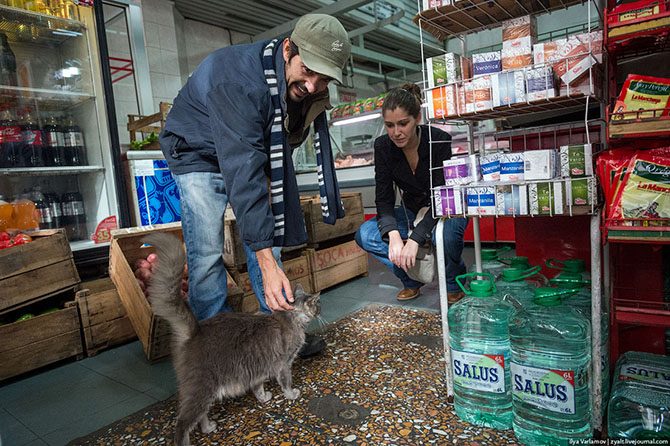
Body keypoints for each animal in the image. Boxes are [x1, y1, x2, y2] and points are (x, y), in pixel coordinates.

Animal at [146, 233, 324, 446]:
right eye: (317, 305)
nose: (321, 310)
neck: (291, 317)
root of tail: (196, 330)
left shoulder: (257, 367)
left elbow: (257, 386)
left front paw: (263, 398)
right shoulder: (283, 364)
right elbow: (286, 382)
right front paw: (291, 395)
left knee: (200, 416)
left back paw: (209, 427)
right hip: (201, 387)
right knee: (182, 423)